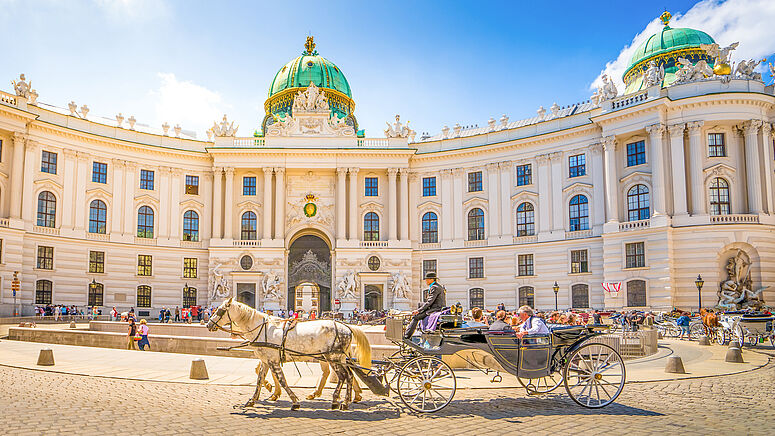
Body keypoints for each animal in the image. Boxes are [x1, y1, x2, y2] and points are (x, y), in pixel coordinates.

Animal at [208, 298, 372, 410]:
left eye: (220, 310)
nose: (208, 324)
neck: (262, 329)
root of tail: (346, 326)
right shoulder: (266, 361)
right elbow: (259, 380)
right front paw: (252, 400)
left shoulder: (273, 361)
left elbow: (282, 380)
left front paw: (294, 401)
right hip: (338, 358)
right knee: (349, 375)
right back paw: (345, 401)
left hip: (332, 358)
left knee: (343, 376)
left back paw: (338, 400)